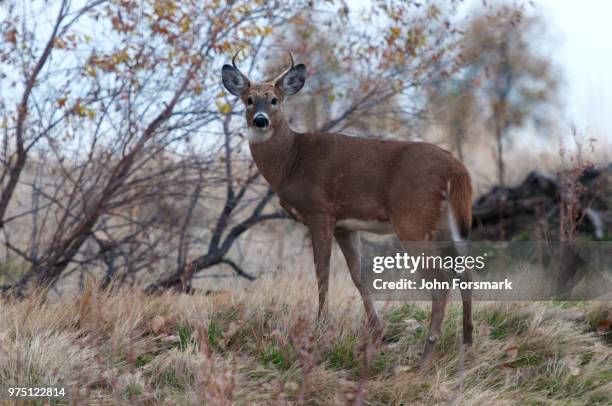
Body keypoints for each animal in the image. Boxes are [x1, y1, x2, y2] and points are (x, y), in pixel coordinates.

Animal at [222, 51, 476, 368]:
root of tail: (458, 170)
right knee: (466, 272)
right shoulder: (344, 224)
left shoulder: (319, 211)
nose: (260, 120)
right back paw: (467, 344)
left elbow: (322, 272)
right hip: (445, 223)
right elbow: (358, 275)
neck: (290, 161)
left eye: (274, 100)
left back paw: (425, 359)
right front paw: (378, 332)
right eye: (248, 100)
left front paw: (320, 328)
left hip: (413, 219)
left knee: (441, 280)